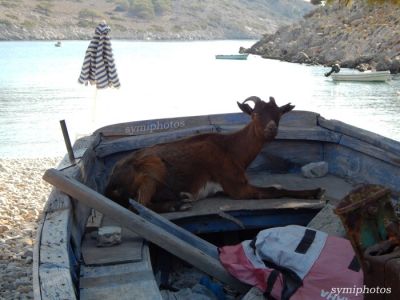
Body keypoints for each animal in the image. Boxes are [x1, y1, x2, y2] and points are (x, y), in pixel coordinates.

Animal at [104, 95, 324, 211]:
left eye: (279, 115)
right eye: (254, 114)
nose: (271, 129)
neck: (232, 148)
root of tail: (111, 181)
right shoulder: (235, 186)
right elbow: (274, 189)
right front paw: (315, 191)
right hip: (152, 167)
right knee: (139, 203)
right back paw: (180, 203)